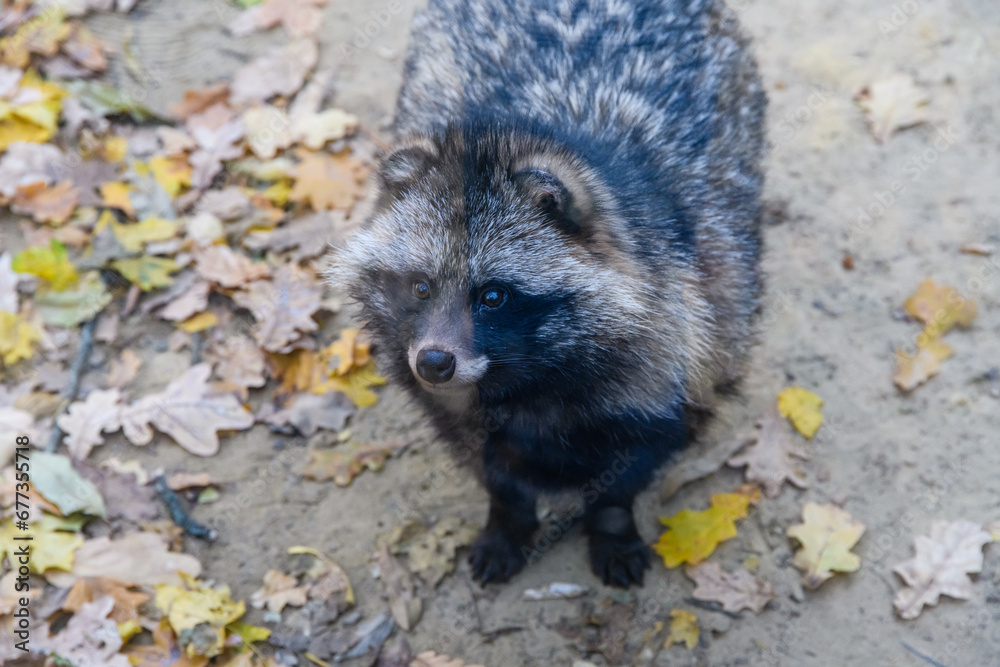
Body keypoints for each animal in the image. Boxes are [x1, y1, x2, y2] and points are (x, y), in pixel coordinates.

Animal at [330, 0, 767, 587]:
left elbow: (628, 469)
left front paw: (612, 525)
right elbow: (494, 470)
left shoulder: (685, 351)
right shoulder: (454, 406)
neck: (530, 379)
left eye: (492, 296)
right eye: (420, 286)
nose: (435, 363)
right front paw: (507, 521)